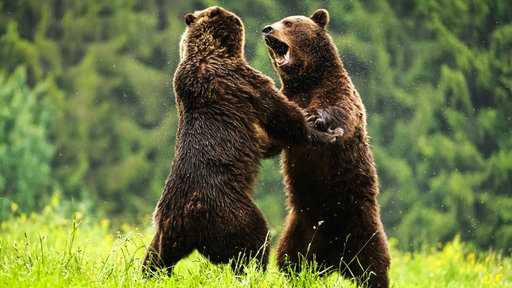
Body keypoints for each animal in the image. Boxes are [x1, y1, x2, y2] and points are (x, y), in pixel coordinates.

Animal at [141, 6, 340, 276]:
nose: (228, 11)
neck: (206, 54)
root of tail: (183, 223)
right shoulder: (243, 81)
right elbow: (280, 115)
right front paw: (325, 132)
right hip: (229, 211)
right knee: (254, 241)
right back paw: (255, 270)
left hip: (162, 228)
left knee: (154, 257)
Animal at [262, 7, 390, 286]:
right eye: (279, 21)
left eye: (288, 23)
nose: (267, 29)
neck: (306, 81)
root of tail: (334, 260)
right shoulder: (287, 99)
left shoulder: (337, 91)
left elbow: (339, 109)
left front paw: (316, 118)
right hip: (303, 227)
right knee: (290, 258)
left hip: (361, 223)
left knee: (374, 264)